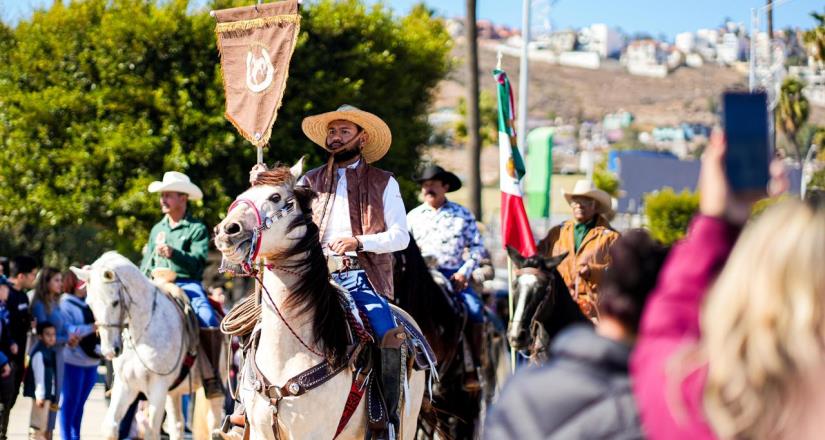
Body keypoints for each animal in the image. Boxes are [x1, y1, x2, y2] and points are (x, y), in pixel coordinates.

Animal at [69, 253, 225, 440]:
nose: (109, 351)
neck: (142, 334)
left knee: (213, 423)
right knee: (177, 426)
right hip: (173, 393)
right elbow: (110, 428)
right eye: (90, 303)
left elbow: (151, 431)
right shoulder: (126, 386)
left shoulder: (158, 387)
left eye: (115, 302)